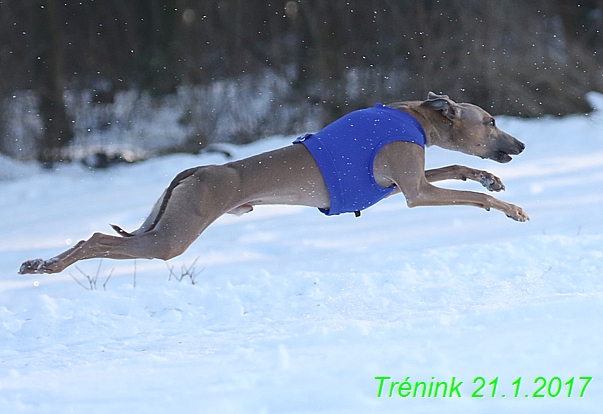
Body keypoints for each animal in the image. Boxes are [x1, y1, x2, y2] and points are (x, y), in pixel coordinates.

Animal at [18, 93, 528, 274]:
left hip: (163, 226)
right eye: (490, 121)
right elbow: (464, 195)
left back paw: (39, 262)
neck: (415, 116)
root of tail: (194, 171)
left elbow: (458, 170)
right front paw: (512, 209)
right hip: (170, 238)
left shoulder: (410, 179)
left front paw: (491, 178)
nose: (521, 145)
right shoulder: (415, 191)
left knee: (94, 238)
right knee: (97, 238)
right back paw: (50, 266)